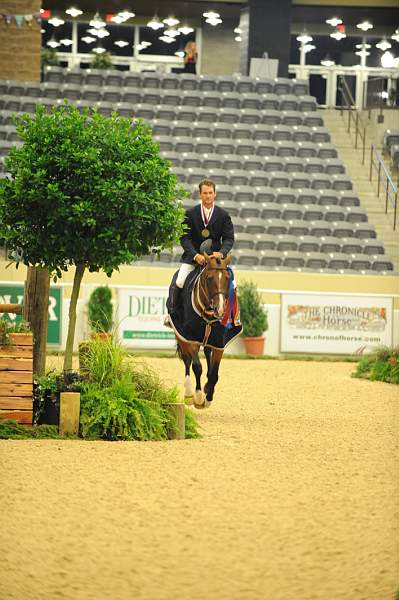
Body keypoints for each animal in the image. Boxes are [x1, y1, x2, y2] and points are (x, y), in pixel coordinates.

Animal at [168, 253, 241, 408]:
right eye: (209, 278)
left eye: (227, 278)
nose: (220, 310)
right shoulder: (190, 337)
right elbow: (197, 366)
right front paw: (198, 396)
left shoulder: (219, 342)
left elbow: (214, 373)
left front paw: (208, 395)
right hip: (181, 335)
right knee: (187, 360)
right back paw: (189, 394)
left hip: (208, 338)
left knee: (207, 352)